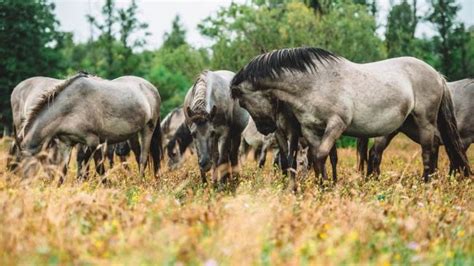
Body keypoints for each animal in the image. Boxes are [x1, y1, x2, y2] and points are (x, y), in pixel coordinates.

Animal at [18, 71, 163, 178]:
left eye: (27, 165)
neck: (70, 108)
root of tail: (152, 87)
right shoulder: (67, 144)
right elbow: (63, 171)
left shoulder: (93, 141)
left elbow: (99, 169)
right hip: (133, 134)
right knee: (138, 156)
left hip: (147, 129)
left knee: (143, 158)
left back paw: (141, 182)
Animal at [231, 46, 470, 183]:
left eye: (242, 101)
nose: (265, 129)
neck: (314, 83)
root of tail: (437, 75)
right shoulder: (311, 130)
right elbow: (316, 158)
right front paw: (323, 187)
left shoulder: (336, 125)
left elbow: (320, 155)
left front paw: (326, 186)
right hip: (408, 125)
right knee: (438, 146)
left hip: (424, 121)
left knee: (428, 152)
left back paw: (426, 183)